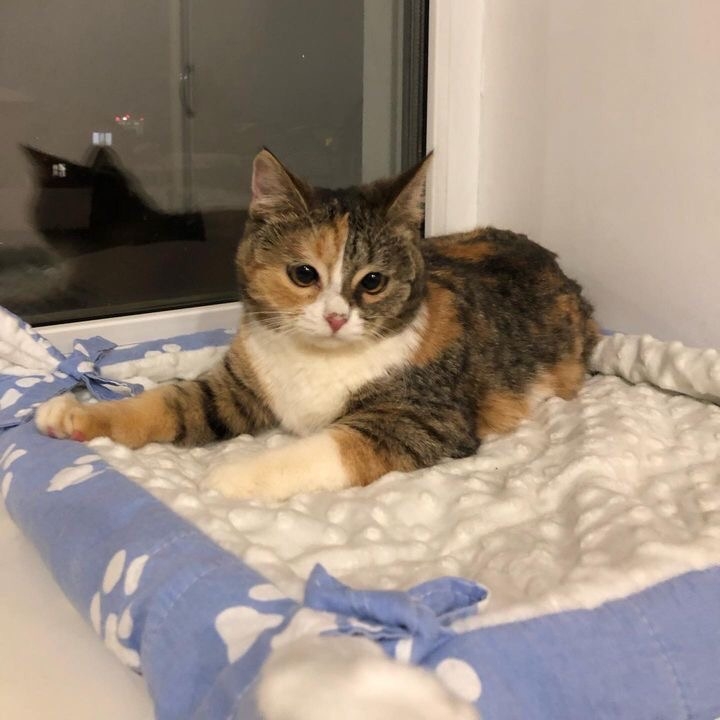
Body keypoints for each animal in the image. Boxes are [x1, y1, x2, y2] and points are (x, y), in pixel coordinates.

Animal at [35, 148, 598, 501]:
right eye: (303, 273)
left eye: (373, 281)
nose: (335, 316)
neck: (316, 359)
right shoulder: (239, 386)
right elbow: (172, 401)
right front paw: (77, 415)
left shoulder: (421, 419)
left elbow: (329, 445)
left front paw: (231, 472)